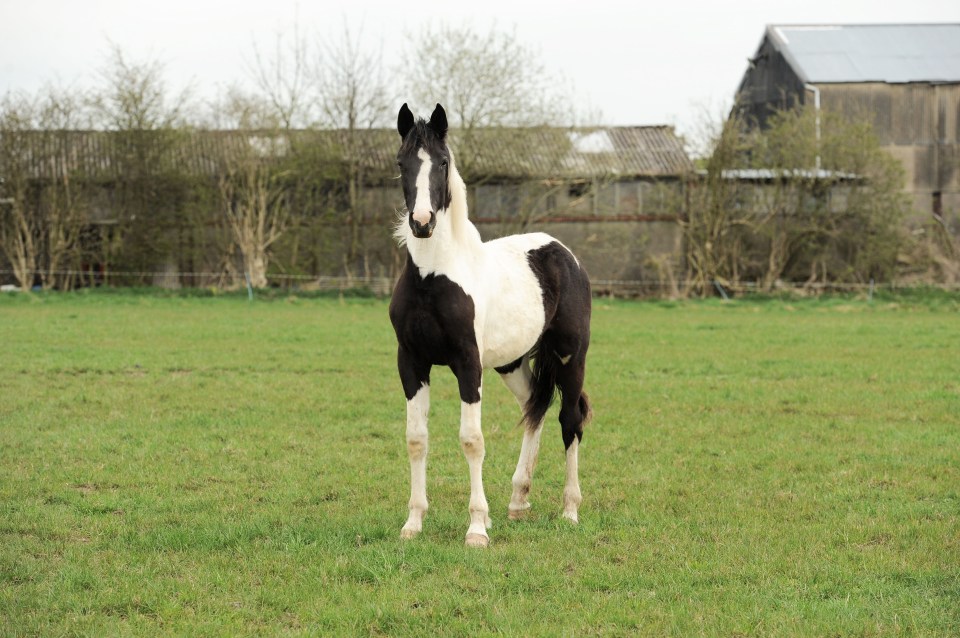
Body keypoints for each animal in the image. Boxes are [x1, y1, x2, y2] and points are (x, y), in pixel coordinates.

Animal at [390, 102, 592, 548]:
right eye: (401, 162)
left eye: (442, 162)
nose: (422, 222)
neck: (434, 276)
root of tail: (565, 254)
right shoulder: (411, 362)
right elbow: (415, 439)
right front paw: (413, 522)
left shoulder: (468, 364)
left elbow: (472, 440)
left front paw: (477, 528)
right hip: (511, 363)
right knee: (535, 407)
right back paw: (518, 501)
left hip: (570, 357)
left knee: (569, 419)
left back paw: (570, 510)